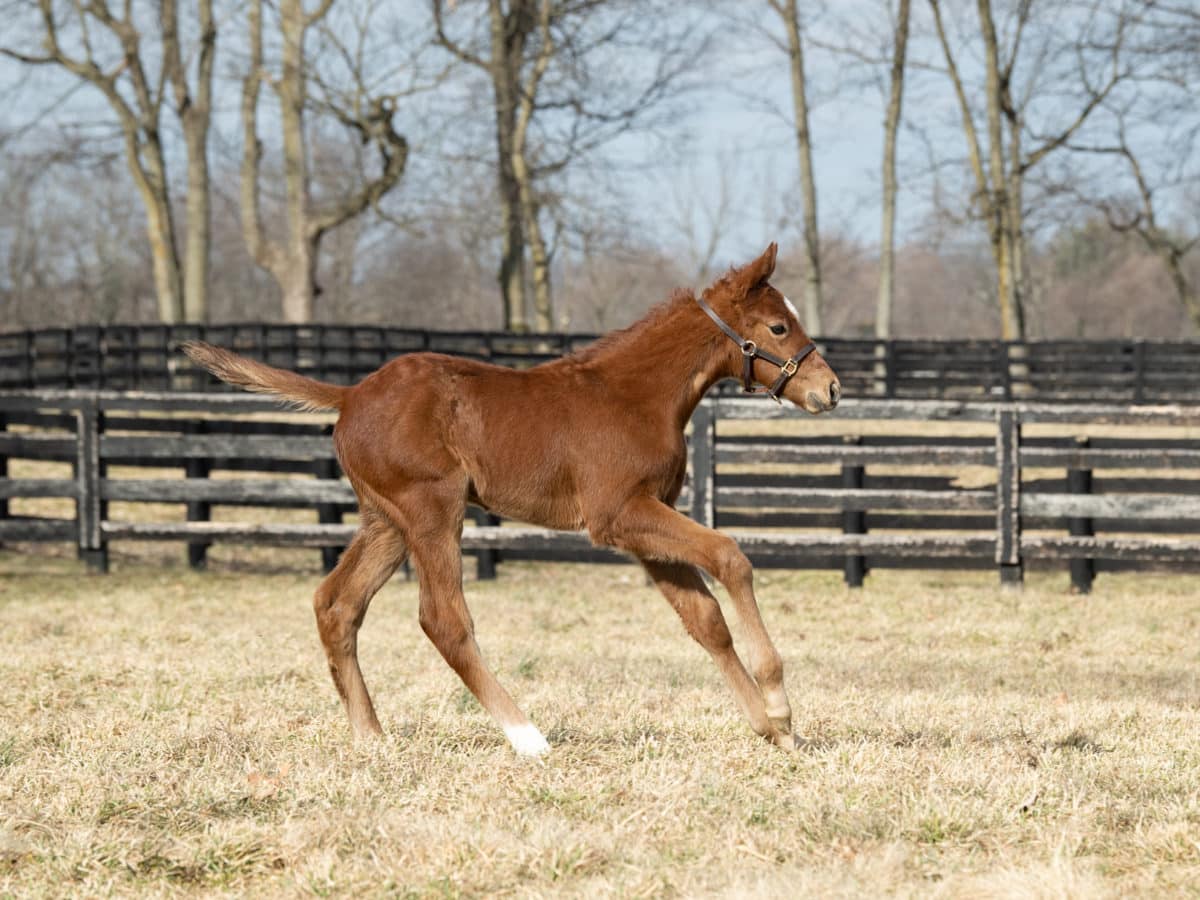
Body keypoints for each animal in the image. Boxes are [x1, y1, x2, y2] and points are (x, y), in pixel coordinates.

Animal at [189, 244, 844, 753]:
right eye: (779, 328)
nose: (831, 390)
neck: (635, 395)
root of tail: (349, 395)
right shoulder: (618, 514)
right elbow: (730, 555)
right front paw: (780, 705)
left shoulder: (644, 522)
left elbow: (705, 621)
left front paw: (773, 731)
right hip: (431, 513)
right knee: (442, 619)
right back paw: (526, 736)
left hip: (386, 523)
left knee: (337, 604)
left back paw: (371, 737)